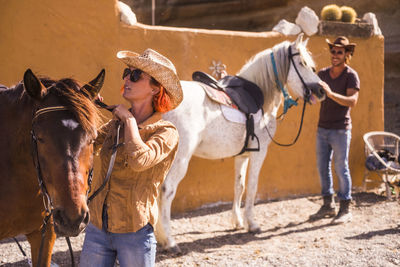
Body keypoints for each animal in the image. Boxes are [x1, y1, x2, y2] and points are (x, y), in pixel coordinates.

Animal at [157, 34, 324, 253]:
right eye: (303, 63)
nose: (321, 90)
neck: (260, 96)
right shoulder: (259, 153)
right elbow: (252, 187)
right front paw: (251, 224)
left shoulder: (242, 155)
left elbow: (239, 185)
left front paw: (237, 222)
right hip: (180, 160)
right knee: (167, 191)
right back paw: (169, 241)